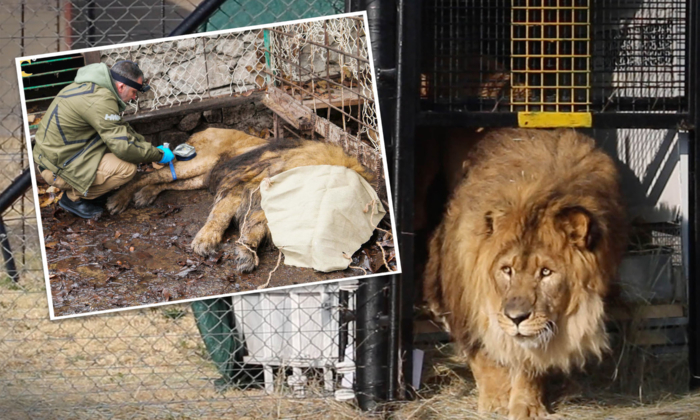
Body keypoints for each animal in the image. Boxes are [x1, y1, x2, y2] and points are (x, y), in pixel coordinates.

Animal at [105, 127, 372, 272]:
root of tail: (203, 129)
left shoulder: (258, 205)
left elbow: (254, 228)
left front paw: (245, 253)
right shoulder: (240, 188)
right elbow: (220, 216)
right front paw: (204, 242)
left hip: (200, 177)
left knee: (164, 181)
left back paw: (145, 195)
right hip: (197, 163)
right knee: (149, 175)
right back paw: (119, 199)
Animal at [424, 129, 628, 420]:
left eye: (546, 272)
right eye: (507, 270)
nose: (516, 317)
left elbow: (528, 360)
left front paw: (527, 406)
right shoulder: (465, 301)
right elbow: (484, 355)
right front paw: (494, 402)